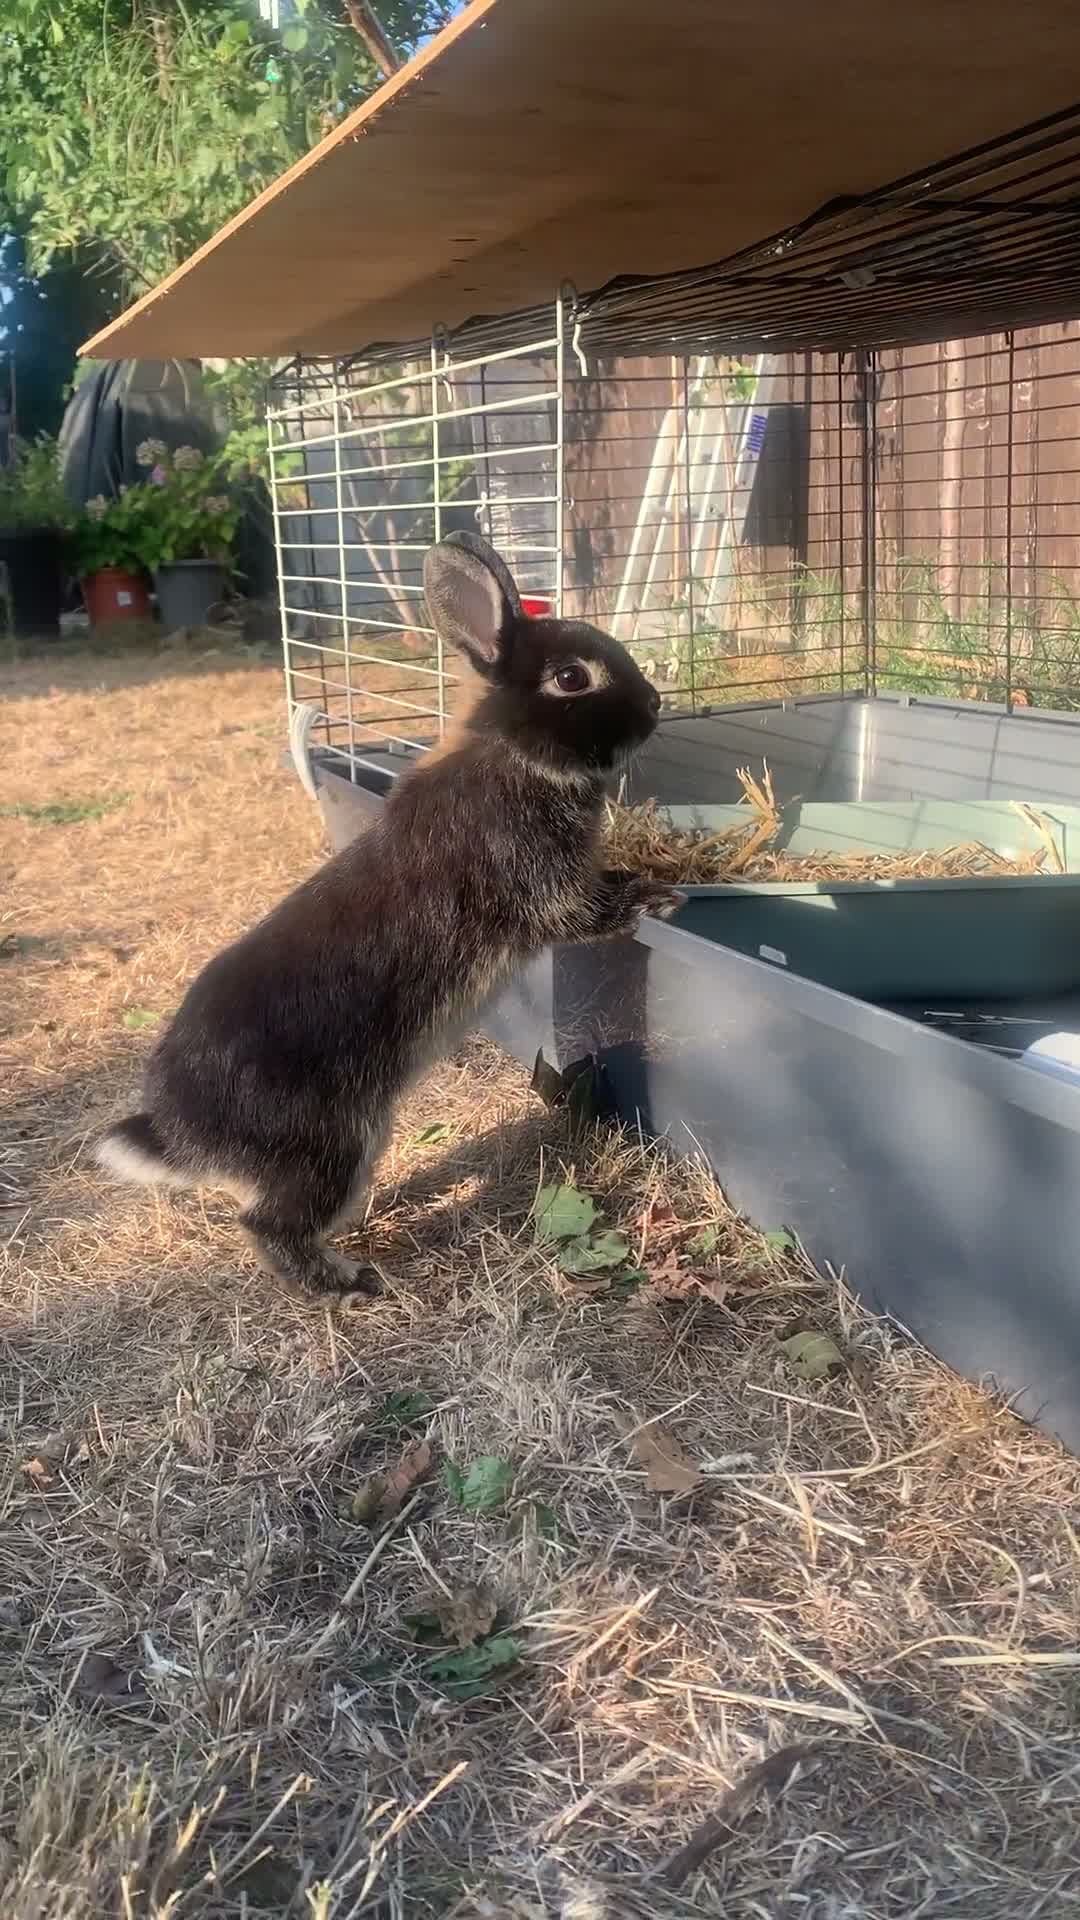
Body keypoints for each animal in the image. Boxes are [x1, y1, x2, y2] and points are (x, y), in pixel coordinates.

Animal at [94, 531, 683, 1299]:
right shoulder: (536, 882)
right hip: (330, 1146)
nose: (654, 705)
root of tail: (178, 1137)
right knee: (270, 1225)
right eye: (571, 679)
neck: (512, 754)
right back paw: (347, 1283)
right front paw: (657, 894)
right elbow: (583, 912)